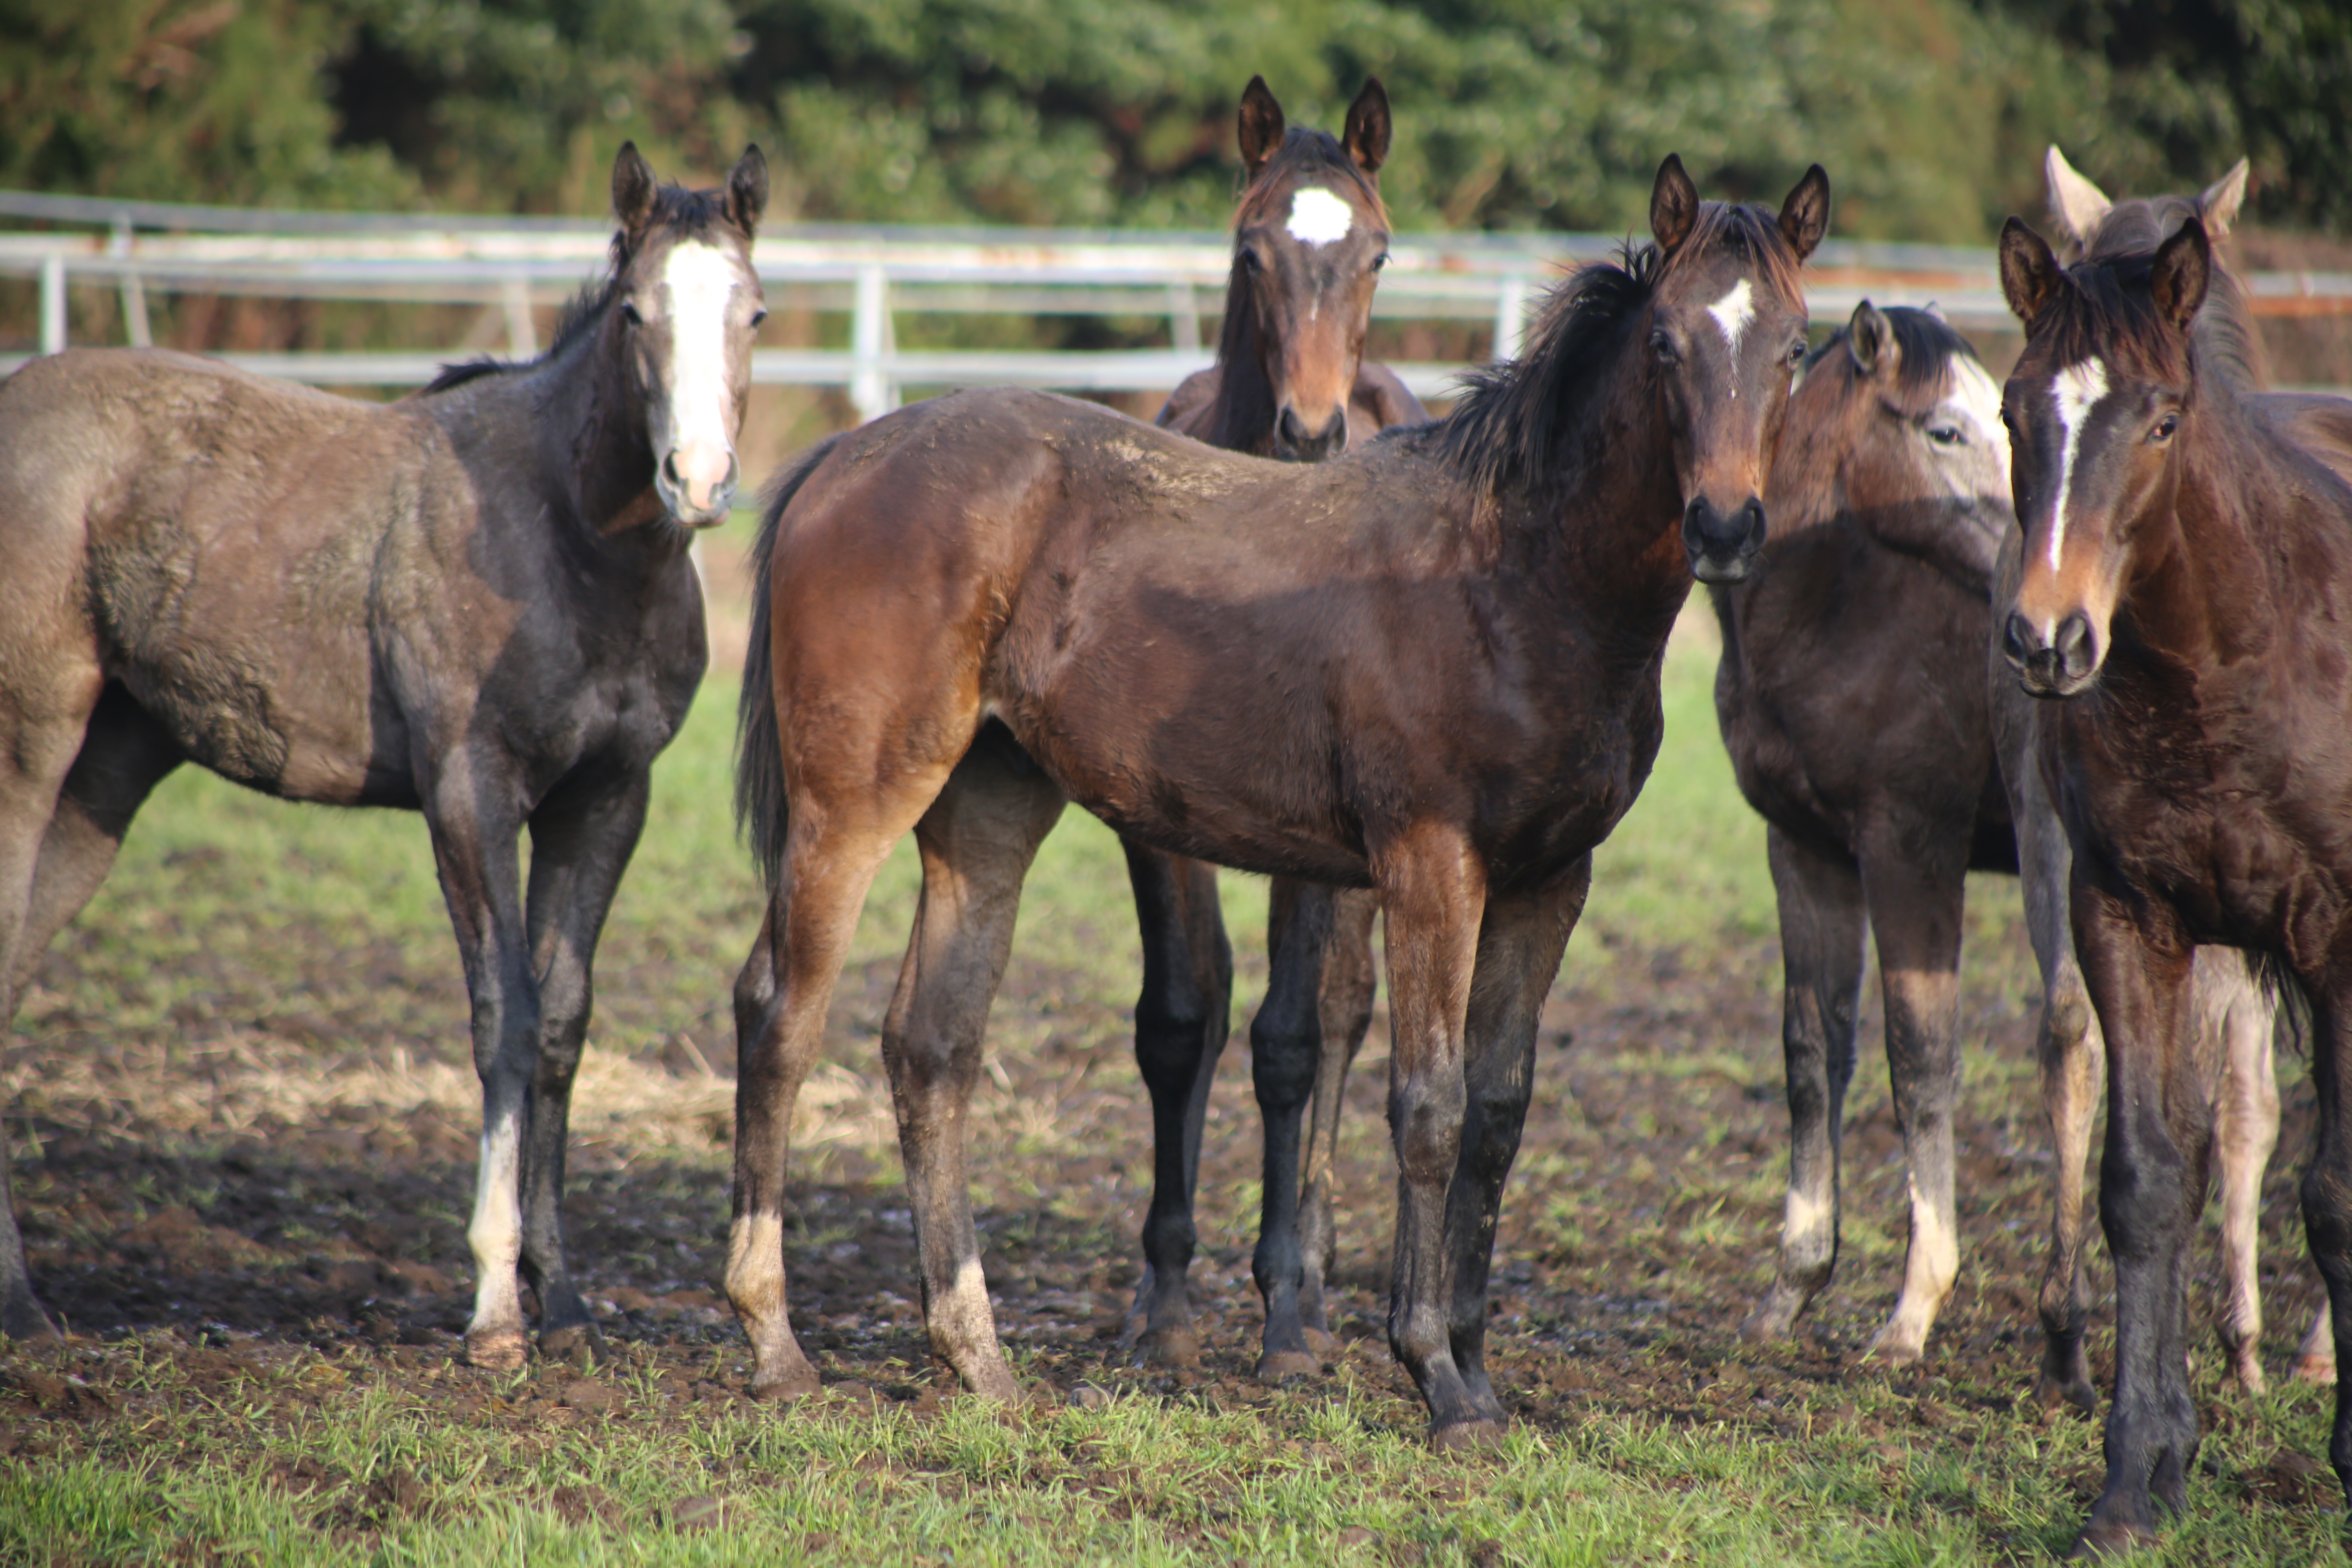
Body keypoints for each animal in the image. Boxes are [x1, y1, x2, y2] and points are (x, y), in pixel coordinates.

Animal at [0, 147, 771, 1373]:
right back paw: (21, 1305)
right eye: (636, 312)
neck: (566, 537)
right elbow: (503, 1016)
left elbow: (562, 1023)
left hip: (107, 776)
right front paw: (495, 1312)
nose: (695, 480)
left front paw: (565, 1302)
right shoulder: (469, 791)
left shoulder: (607, 798)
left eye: (753, 312)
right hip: (33, 739)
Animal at [734, 160, 1834, 1448]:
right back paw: (775, 1344)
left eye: (1797, 346)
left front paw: (1477, 1369)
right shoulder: (1429, 865)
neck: (1513, 578)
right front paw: (1434, 1374)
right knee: (780, 1015)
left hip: (987, 813)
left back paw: (979, 1360)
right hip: (850, 807)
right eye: (1665, 342)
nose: (1726, 526)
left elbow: (1498, 1116)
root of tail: (840, 456)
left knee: (931, 1045)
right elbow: (1428, 1109)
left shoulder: (1549, 881)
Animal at [1994, 212, 2352, 1561]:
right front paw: (2135, 1481)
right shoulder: (2126, 917)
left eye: (2159, 420)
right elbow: (2144, 1184)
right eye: (2012, 411)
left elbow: (2332, 1190)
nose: (2047, 638)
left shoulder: (2338, 936)